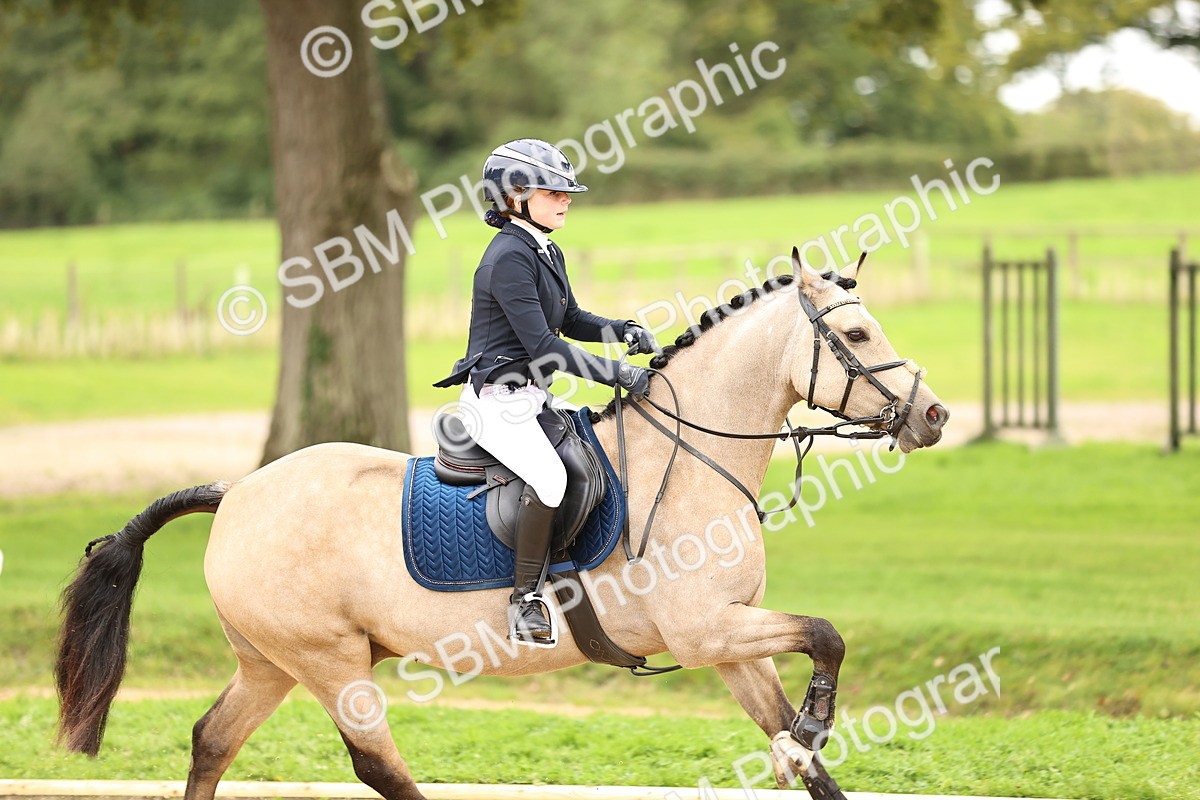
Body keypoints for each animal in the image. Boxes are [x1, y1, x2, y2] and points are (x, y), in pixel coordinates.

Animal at [55, 250, 948, 799]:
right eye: (858, 334)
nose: (934, 415)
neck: (692, 454)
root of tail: (237, 492)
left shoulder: (732, 641)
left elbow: (802, 743)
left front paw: (800, 739)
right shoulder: (705, 632)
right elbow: (828, 635)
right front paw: (815, 723)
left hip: (269, 663)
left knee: (212, 739)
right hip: (327, 659)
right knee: (376, 764)